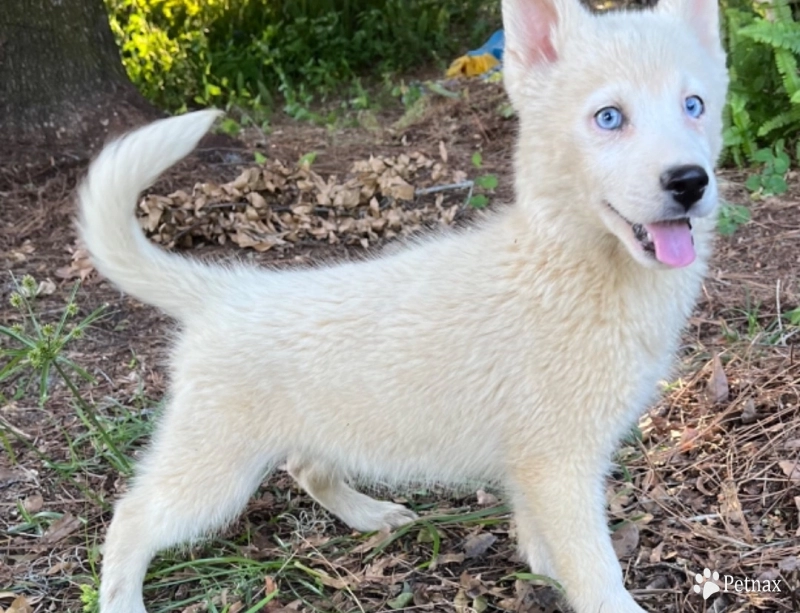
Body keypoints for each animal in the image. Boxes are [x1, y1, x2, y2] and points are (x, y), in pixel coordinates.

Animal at [78, 0, 728, 608]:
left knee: (304, 468)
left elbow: (542, 537)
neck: (567, 263)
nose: (690, 182)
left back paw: (371, 516)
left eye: (693, 106)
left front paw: (541, 569)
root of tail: (225, 290)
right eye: (609, 117)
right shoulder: (559, 465)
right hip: (214, 471)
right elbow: (597, 571)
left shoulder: (538, 467)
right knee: (131, 518)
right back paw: (122, 601)